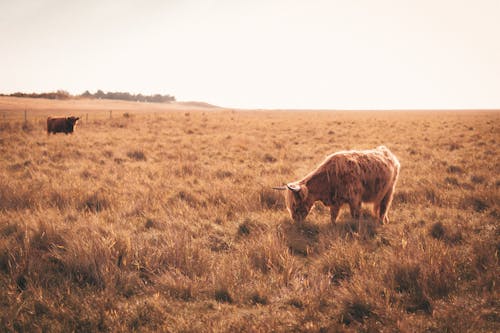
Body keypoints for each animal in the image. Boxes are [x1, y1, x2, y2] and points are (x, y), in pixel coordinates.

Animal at [272, 145, 400, 223]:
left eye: (295, 204)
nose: (295, 220)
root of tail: (386, 151)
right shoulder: (335, 202)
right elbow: (333, 218)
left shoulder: (355, 199)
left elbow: (355, 216)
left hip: (389, 191)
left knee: (384, 207)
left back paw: (382, 222)